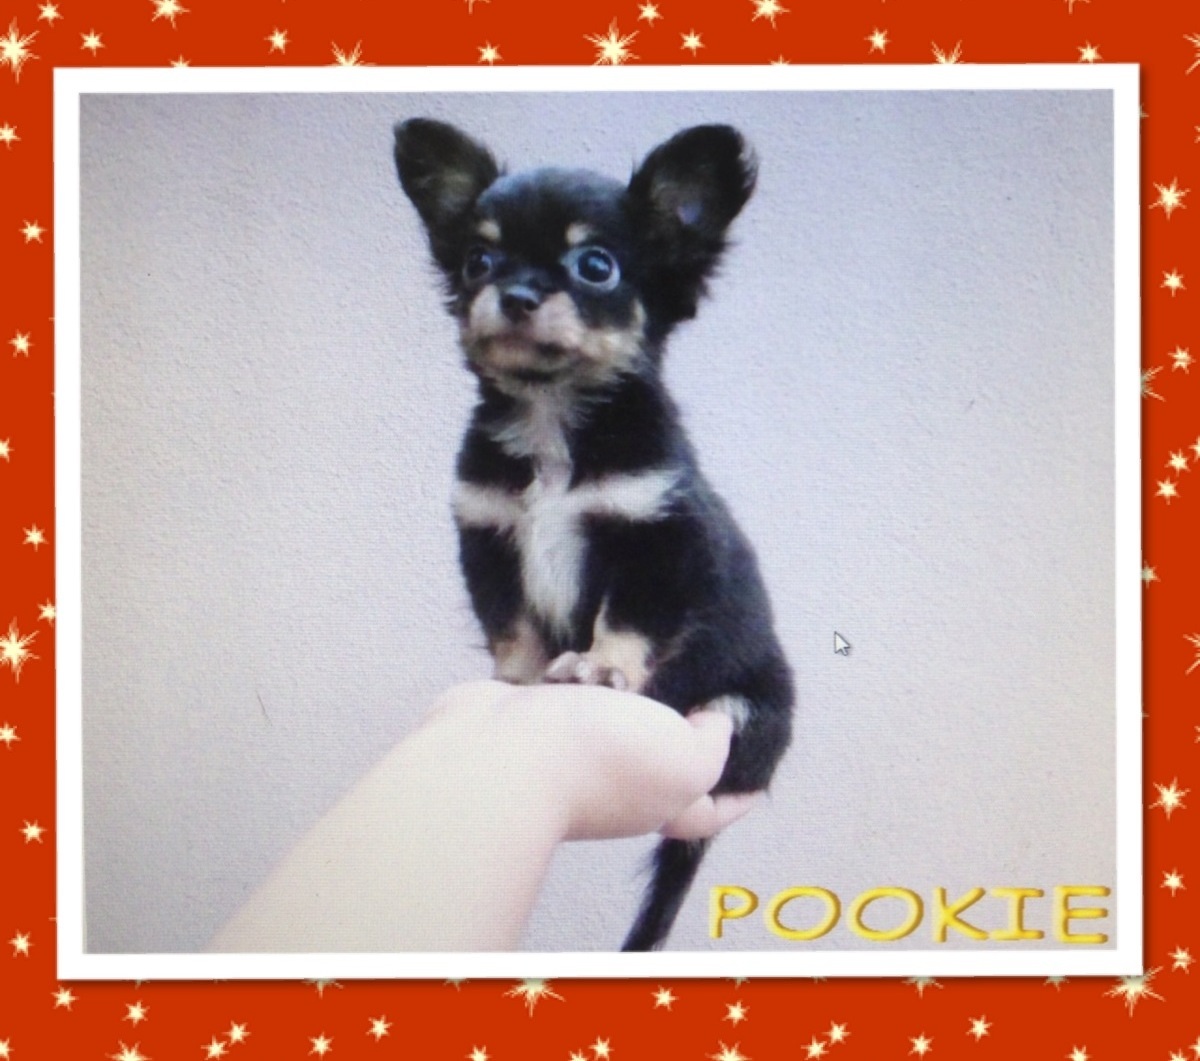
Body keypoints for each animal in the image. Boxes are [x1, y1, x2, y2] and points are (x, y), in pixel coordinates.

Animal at [394, 117, 794, 951]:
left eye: (596, 266)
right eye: (477, 259)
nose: (513, 293)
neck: (553, 414)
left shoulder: (657, 537)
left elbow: (627, 618)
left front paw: (601, 667)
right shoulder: (488, 535)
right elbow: (513, 627)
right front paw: (515, 683)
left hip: (745, 713)